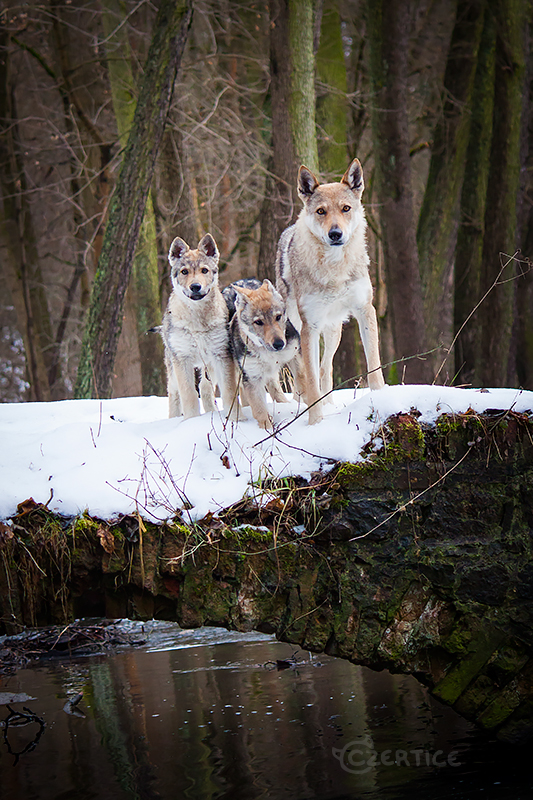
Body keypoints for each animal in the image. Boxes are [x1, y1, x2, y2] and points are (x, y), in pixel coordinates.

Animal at [160, 234, 239, 422]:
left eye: (204, 270)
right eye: (184, 272)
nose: (195, 286)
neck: (197, 322)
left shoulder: (222, 356)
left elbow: (229, 392)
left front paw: (234, 420)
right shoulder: (182, 360)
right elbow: (188, 396)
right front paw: (190, 422)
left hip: (209, 367)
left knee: (205, 389)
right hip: (173, 368)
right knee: (174, 394)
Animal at [221, 280, 304, 432]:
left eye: (278, 317)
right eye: (258, 322)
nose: (279, 344)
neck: (269, 353)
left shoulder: (295, 356)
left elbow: (304, 385)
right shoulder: (252, 379)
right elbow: (260, 410)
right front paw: (267, 431)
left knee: (275, 388)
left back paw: (283, 403)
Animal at [276, 159, 384, 428]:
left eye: (346, 208)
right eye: (321, 211)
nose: (335, 234)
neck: (335, 268)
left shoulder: (365, 310)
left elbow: (374, 364)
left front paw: (380, 399)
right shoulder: (310, 327)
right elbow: (311, 379)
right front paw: (315, 422)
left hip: (335, 332)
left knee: (326, 368)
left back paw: (329, 403)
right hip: (296, 330)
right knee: (305, 373)